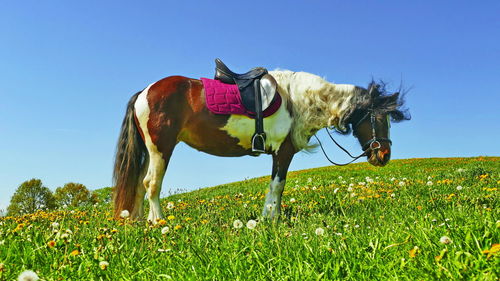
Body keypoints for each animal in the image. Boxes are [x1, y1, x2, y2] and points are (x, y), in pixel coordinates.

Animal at [113, 68, 410, 221]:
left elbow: (277, 186)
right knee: (151, 184)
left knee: (138, 184)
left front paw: (272, 218)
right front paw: (270, 219)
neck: (300, 100)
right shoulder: (284, 151)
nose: (384, 154)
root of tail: (145, 91)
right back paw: (158, 222)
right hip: (161, 149)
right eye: (379, 118)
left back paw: (138, 223)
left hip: (150, 152)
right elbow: (277, 186)